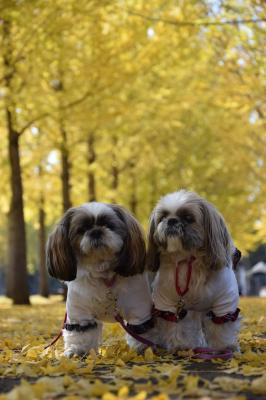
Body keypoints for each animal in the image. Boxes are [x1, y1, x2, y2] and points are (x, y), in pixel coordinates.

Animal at [46, 203, 154, 356]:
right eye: (82, 230)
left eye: (109, 225)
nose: (96, 231)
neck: (103, 275)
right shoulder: (80, 314)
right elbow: (80, 334)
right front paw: (77, 351)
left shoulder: (138, 309)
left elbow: (140, 333)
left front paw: (141, 349)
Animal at [148, 191, 241, 354]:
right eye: (163, 217)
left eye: (188, 218)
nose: (171, 221)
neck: (187, 259)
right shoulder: (168, 303)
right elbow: (174, 326)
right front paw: (179, 345)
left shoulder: (224, 303)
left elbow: (221, 328)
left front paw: (224, 347)